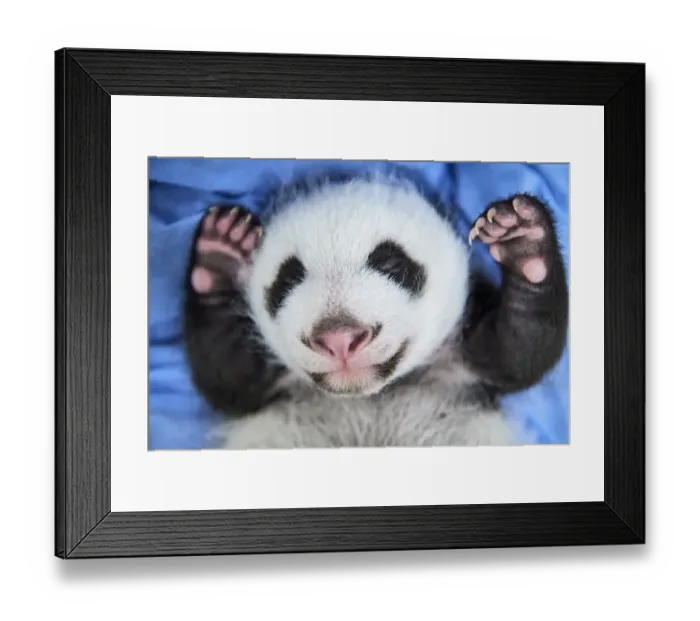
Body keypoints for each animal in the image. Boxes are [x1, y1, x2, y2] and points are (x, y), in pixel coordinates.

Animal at [182, 167, 569, 449]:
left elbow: (519, 351)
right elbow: (230, 378)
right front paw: (220, 253)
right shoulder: (273, 386)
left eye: (391, 264)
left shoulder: (462, 365)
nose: (339, 339)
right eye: (288, 277)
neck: (370, 394)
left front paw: (523, 240)